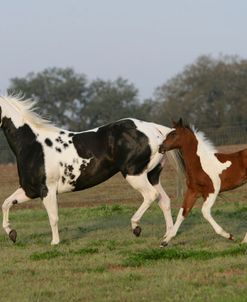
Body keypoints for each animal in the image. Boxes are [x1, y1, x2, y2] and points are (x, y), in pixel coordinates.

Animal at [0, 94, 183, 245]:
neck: (33, 145)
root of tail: (156, 131)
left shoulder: (47, 190)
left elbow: (53, 217)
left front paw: (55, 243)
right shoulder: (29, 190)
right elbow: (6, 203)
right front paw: (12, 234)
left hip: (134, 174)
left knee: (151, 195)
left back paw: (136, 227)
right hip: (152, 175)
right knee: (164, 201)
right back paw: (167, 236)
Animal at [159, 117, 247, 247]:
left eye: (174, 134)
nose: (160, 148)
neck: (201, 163)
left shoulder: (212, 191)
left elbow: (205, 212)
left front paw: (229, 236)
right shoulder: (193, 191)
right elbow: (183, 212)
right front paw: (165, 241)